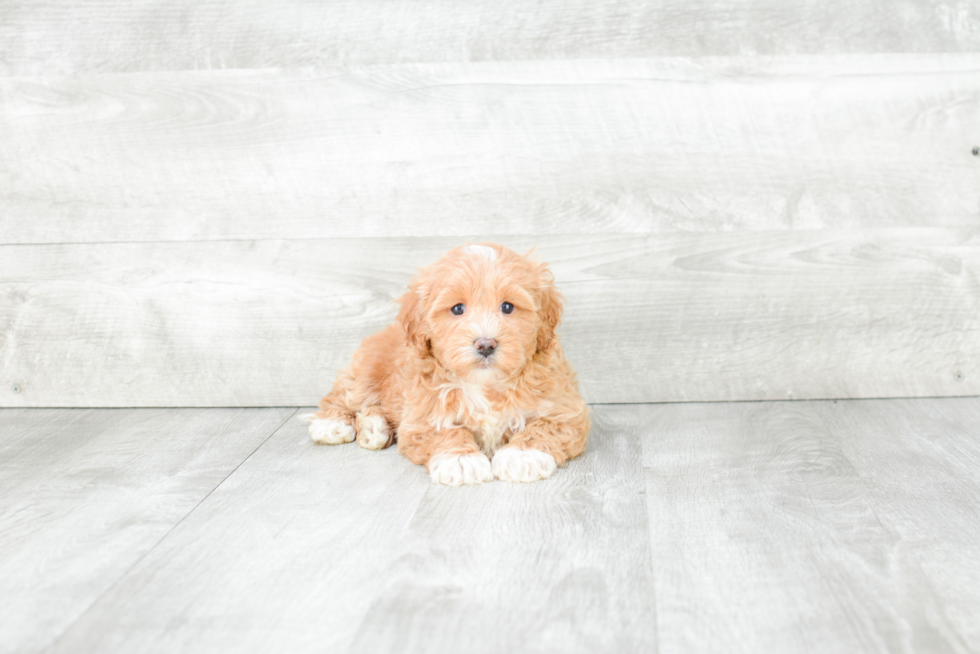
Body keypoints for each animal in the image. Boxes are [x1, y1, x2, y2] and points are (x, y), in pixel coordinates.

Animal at [302, 243, 584, 484]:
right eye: (457, 309)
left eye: (507, 307)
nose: (485, 344)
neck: (486, 384)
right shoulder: (420, 416)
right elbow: (445, 431)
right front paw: (460, 460)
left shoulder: (565, 409)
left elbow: (544, 426)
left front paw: (522, 456)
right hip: (365, 372)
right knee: (343, 396)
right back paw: (334, 424)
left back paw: (374, 427)